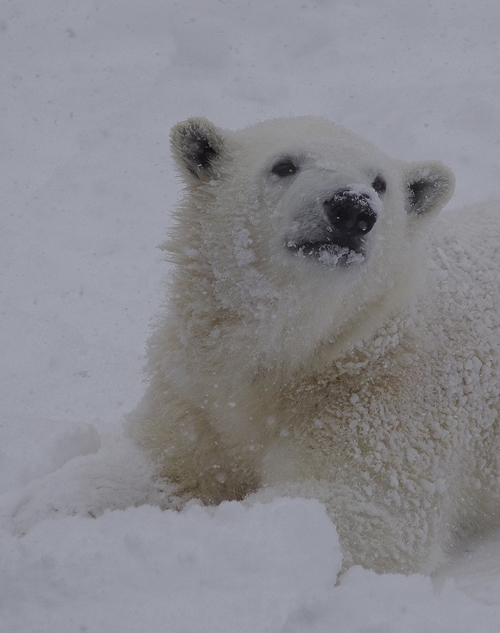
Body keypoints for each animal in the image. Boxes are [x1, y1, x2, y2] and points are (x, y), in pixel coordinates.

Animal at [130, 116, 500, 576]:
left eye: (380, 183)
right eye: (284, 165)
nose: (353, 208)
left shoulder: (385, 402)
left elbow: (352, 507)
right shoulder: (197, 388)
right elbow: (164, 466)